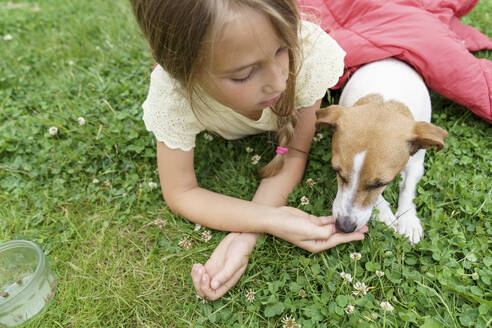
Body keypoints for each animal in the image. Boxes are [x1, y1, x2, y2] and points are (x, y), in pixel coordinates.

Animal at [318, 58, 448, 243]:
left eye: (380, 184)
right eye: (337, 172)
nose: (344, 227)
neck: (385, 99)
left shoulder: (416, 162)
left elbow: (408, 186)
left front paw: (408, 219)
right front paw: (385, 214)